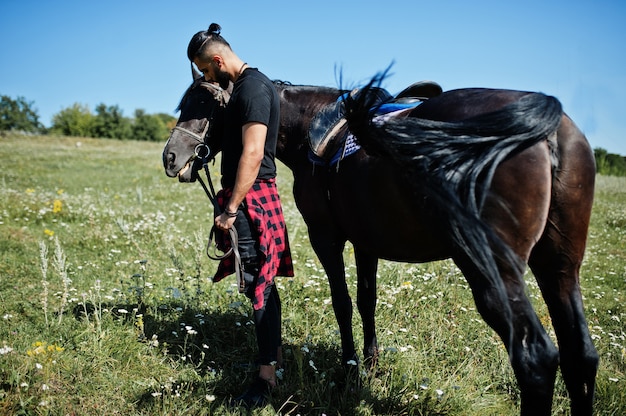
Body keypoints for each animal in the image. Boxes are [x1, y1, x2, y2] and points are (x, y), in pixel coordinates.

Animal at [161, 72, 596, 416]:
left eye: (206, 104)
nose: (171, 157)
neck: (311, 129)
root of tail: (551, 128)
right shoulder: (365, 242)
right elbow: (366, 300)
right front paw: (370, 366)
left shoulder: (326, 237)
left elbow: (342, 302)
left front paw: (349, 370)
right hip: (559, 267)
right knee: (581, 356)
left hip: (493, 274)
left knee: (536, 360)